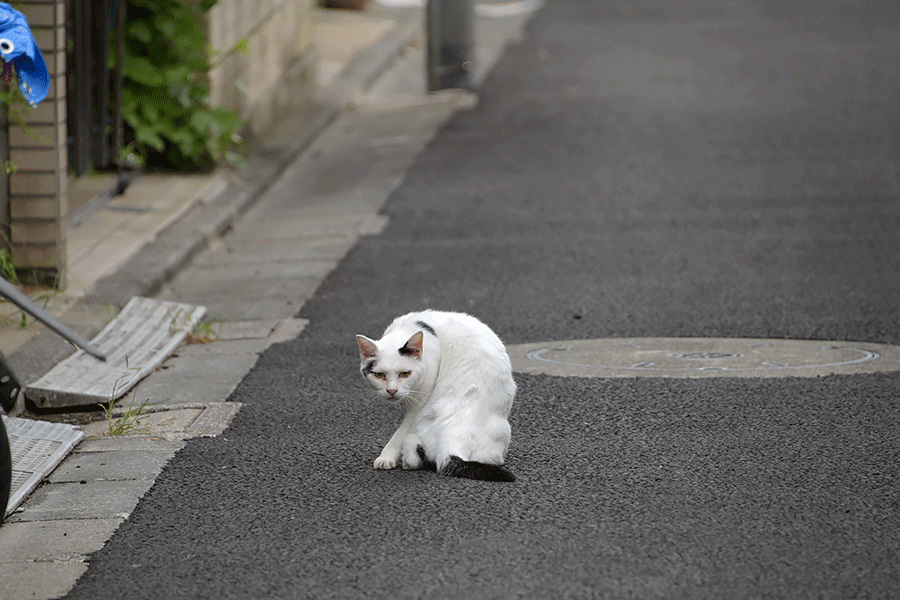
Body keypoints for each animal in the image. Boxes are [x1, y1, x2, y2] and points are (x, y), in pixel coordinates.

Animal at [356, 312, 516, 480]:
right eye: (379, 375)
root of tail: (454, 440)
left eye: (405, 373)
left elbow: (400, 433)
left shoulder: (421, 400)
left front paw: (386, 457)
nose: (391, 390)